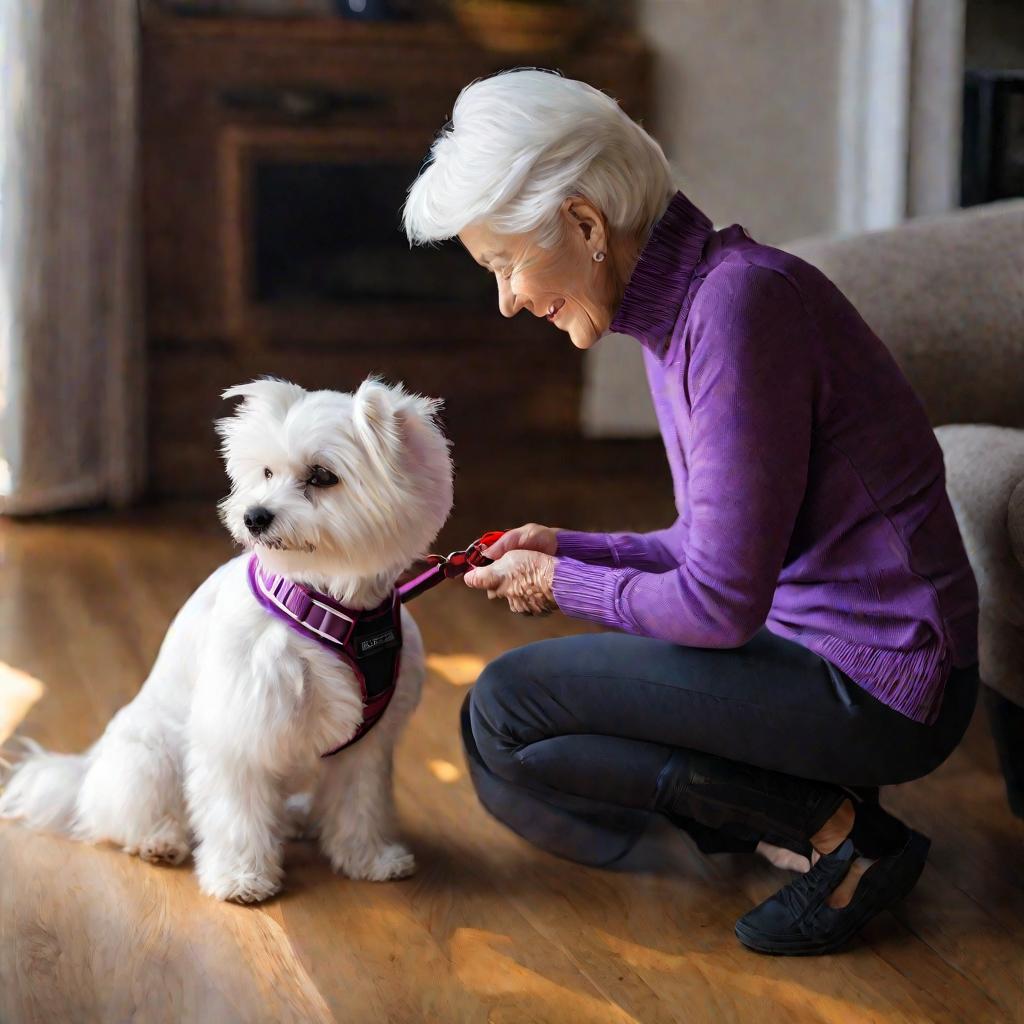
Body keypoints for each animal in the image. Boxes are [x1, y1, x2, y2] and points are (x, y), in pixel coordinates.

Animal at [0, 378, 452, 905]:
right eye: (267, 471)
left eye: (322, 476)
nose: (254, 516)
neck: (331, 605)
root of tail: (86, 774)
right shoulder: (239, 729)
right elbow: (236, 814)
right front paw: (240, 877)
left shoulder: (367, 745)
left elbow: (360, 803)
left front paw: (368, 858)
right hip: (151, 758)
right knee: (121, 817)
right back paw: (159, 840)